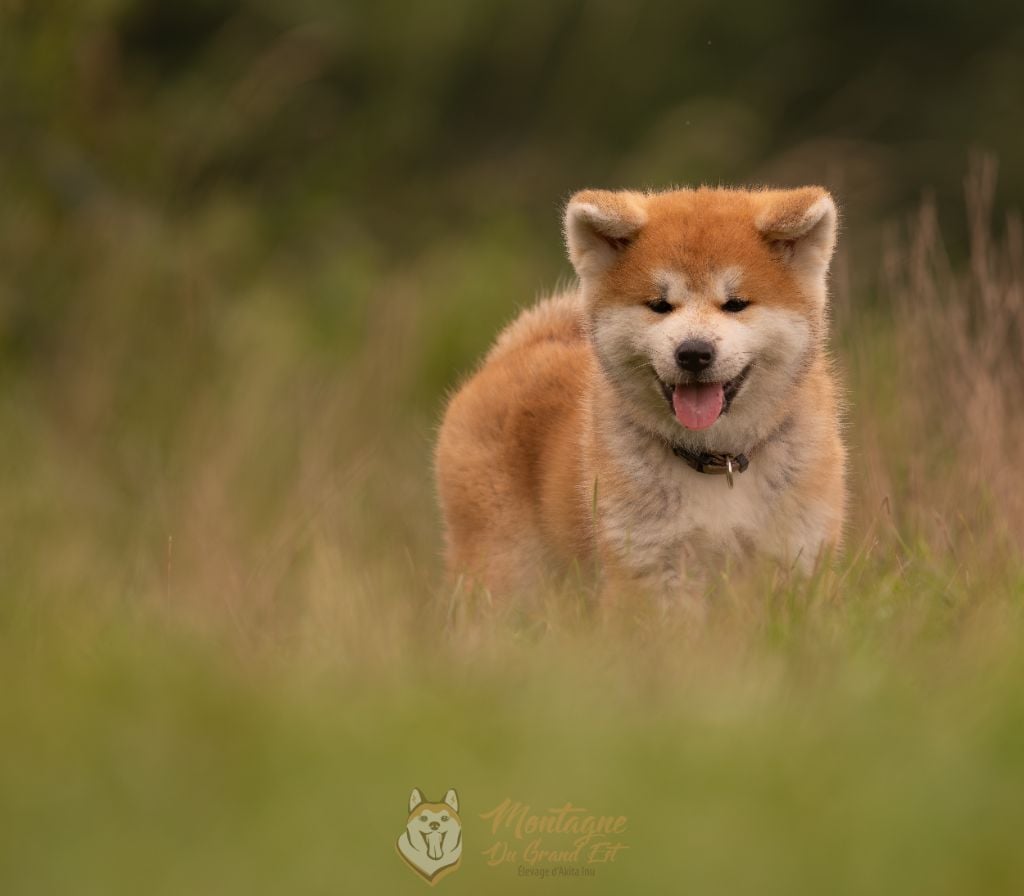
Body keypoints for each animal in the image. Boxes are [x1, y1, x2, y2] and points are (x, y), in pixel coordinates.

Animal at [436, 185, 843, 598]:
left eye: (735, 304)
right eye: (659, 305)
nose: (693, 353)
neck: (717, 464)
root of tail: (517, 350)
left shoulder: (796, 554)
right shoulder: (649, 564)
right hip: (506, 572)